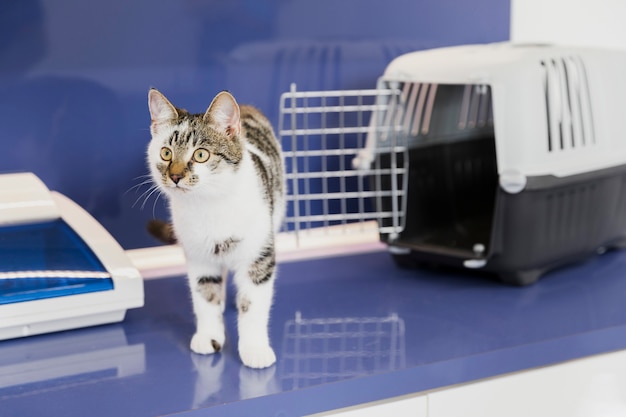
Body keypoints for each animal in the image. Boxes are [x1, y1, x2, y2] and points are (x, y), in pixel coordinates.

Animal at [146, 88, 282, 368]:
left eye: (201, 155)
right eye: (166, 153)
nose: (175, 176)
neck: (208, 205)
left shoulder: (258, 256)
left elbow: (253, 305)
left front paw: (255, 349)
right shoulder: (198, 256)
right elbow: (205, 296)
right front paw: (209, 337)